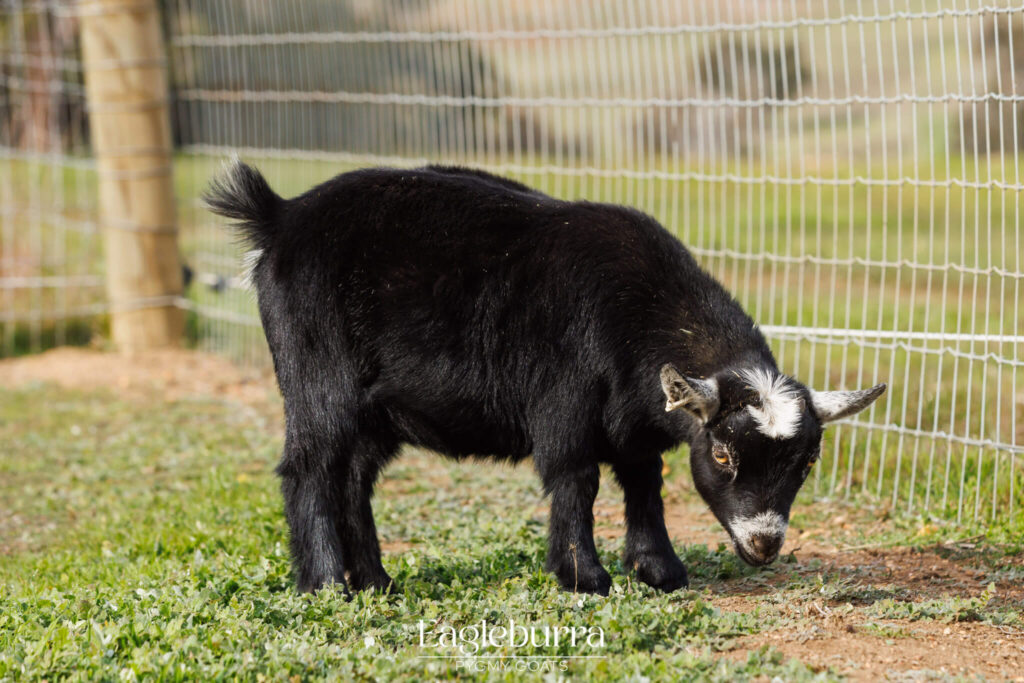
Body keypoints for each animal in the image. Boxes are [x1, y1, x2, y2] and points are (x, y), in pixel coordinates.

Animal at [205, 161, 885, 595]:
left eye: (808, 462)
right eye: (722, 453)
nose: (764, 545)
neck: (635, 310)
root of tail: (280, 217)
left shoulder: (632, 421)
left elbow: (644, 482)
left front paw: (658, 570)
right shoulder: (566, 405)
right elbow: (576, 480)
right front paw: (585, 578)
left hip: (377, 413)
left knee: (353, 478)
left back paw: (378, 582)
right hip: (317, 378)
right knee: (310, 468)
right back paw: (327, 587)